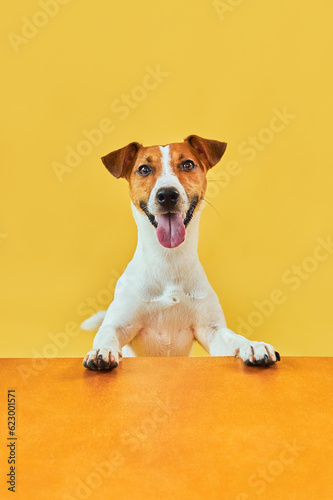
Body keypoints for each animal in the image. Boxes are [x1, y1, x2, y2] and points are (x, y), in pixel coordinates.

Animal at [81, 135, 278, 370]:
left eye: (187, 164)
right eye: (144, 169)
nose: (167, 194)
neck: (169, 260)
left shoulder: (211, 330)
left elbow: (233, 338)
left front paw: (253, 345)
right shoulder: (119, 324)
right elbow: (107, 334)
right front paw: (101, 350)